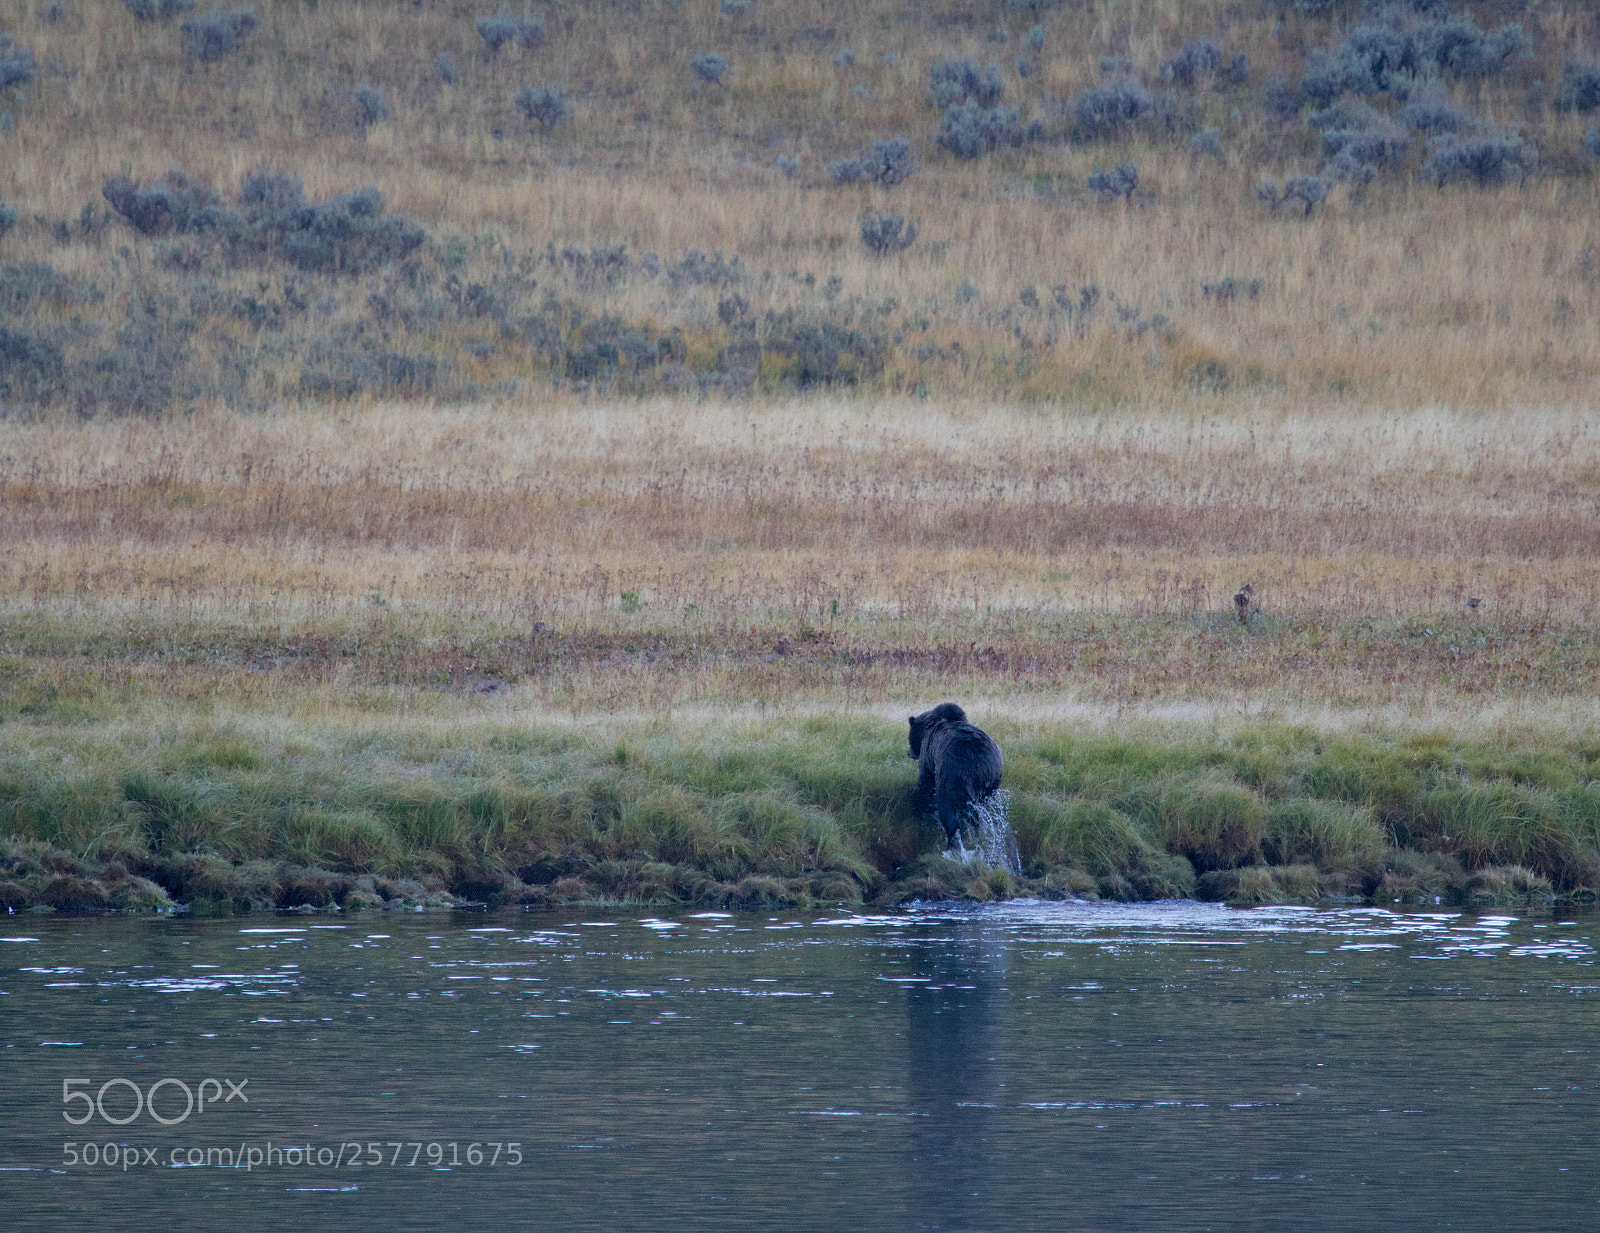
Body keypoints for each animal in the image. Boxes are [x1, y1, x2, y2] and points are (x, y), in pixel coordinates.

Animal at [908, 703, 1004, 850]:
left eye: (910, 737)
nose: (910, 752)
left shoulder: (929, 756)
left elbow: (926, 782)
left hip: (954, 775)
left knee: (949, 809)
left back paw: (952, 842)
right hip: (992, 779)